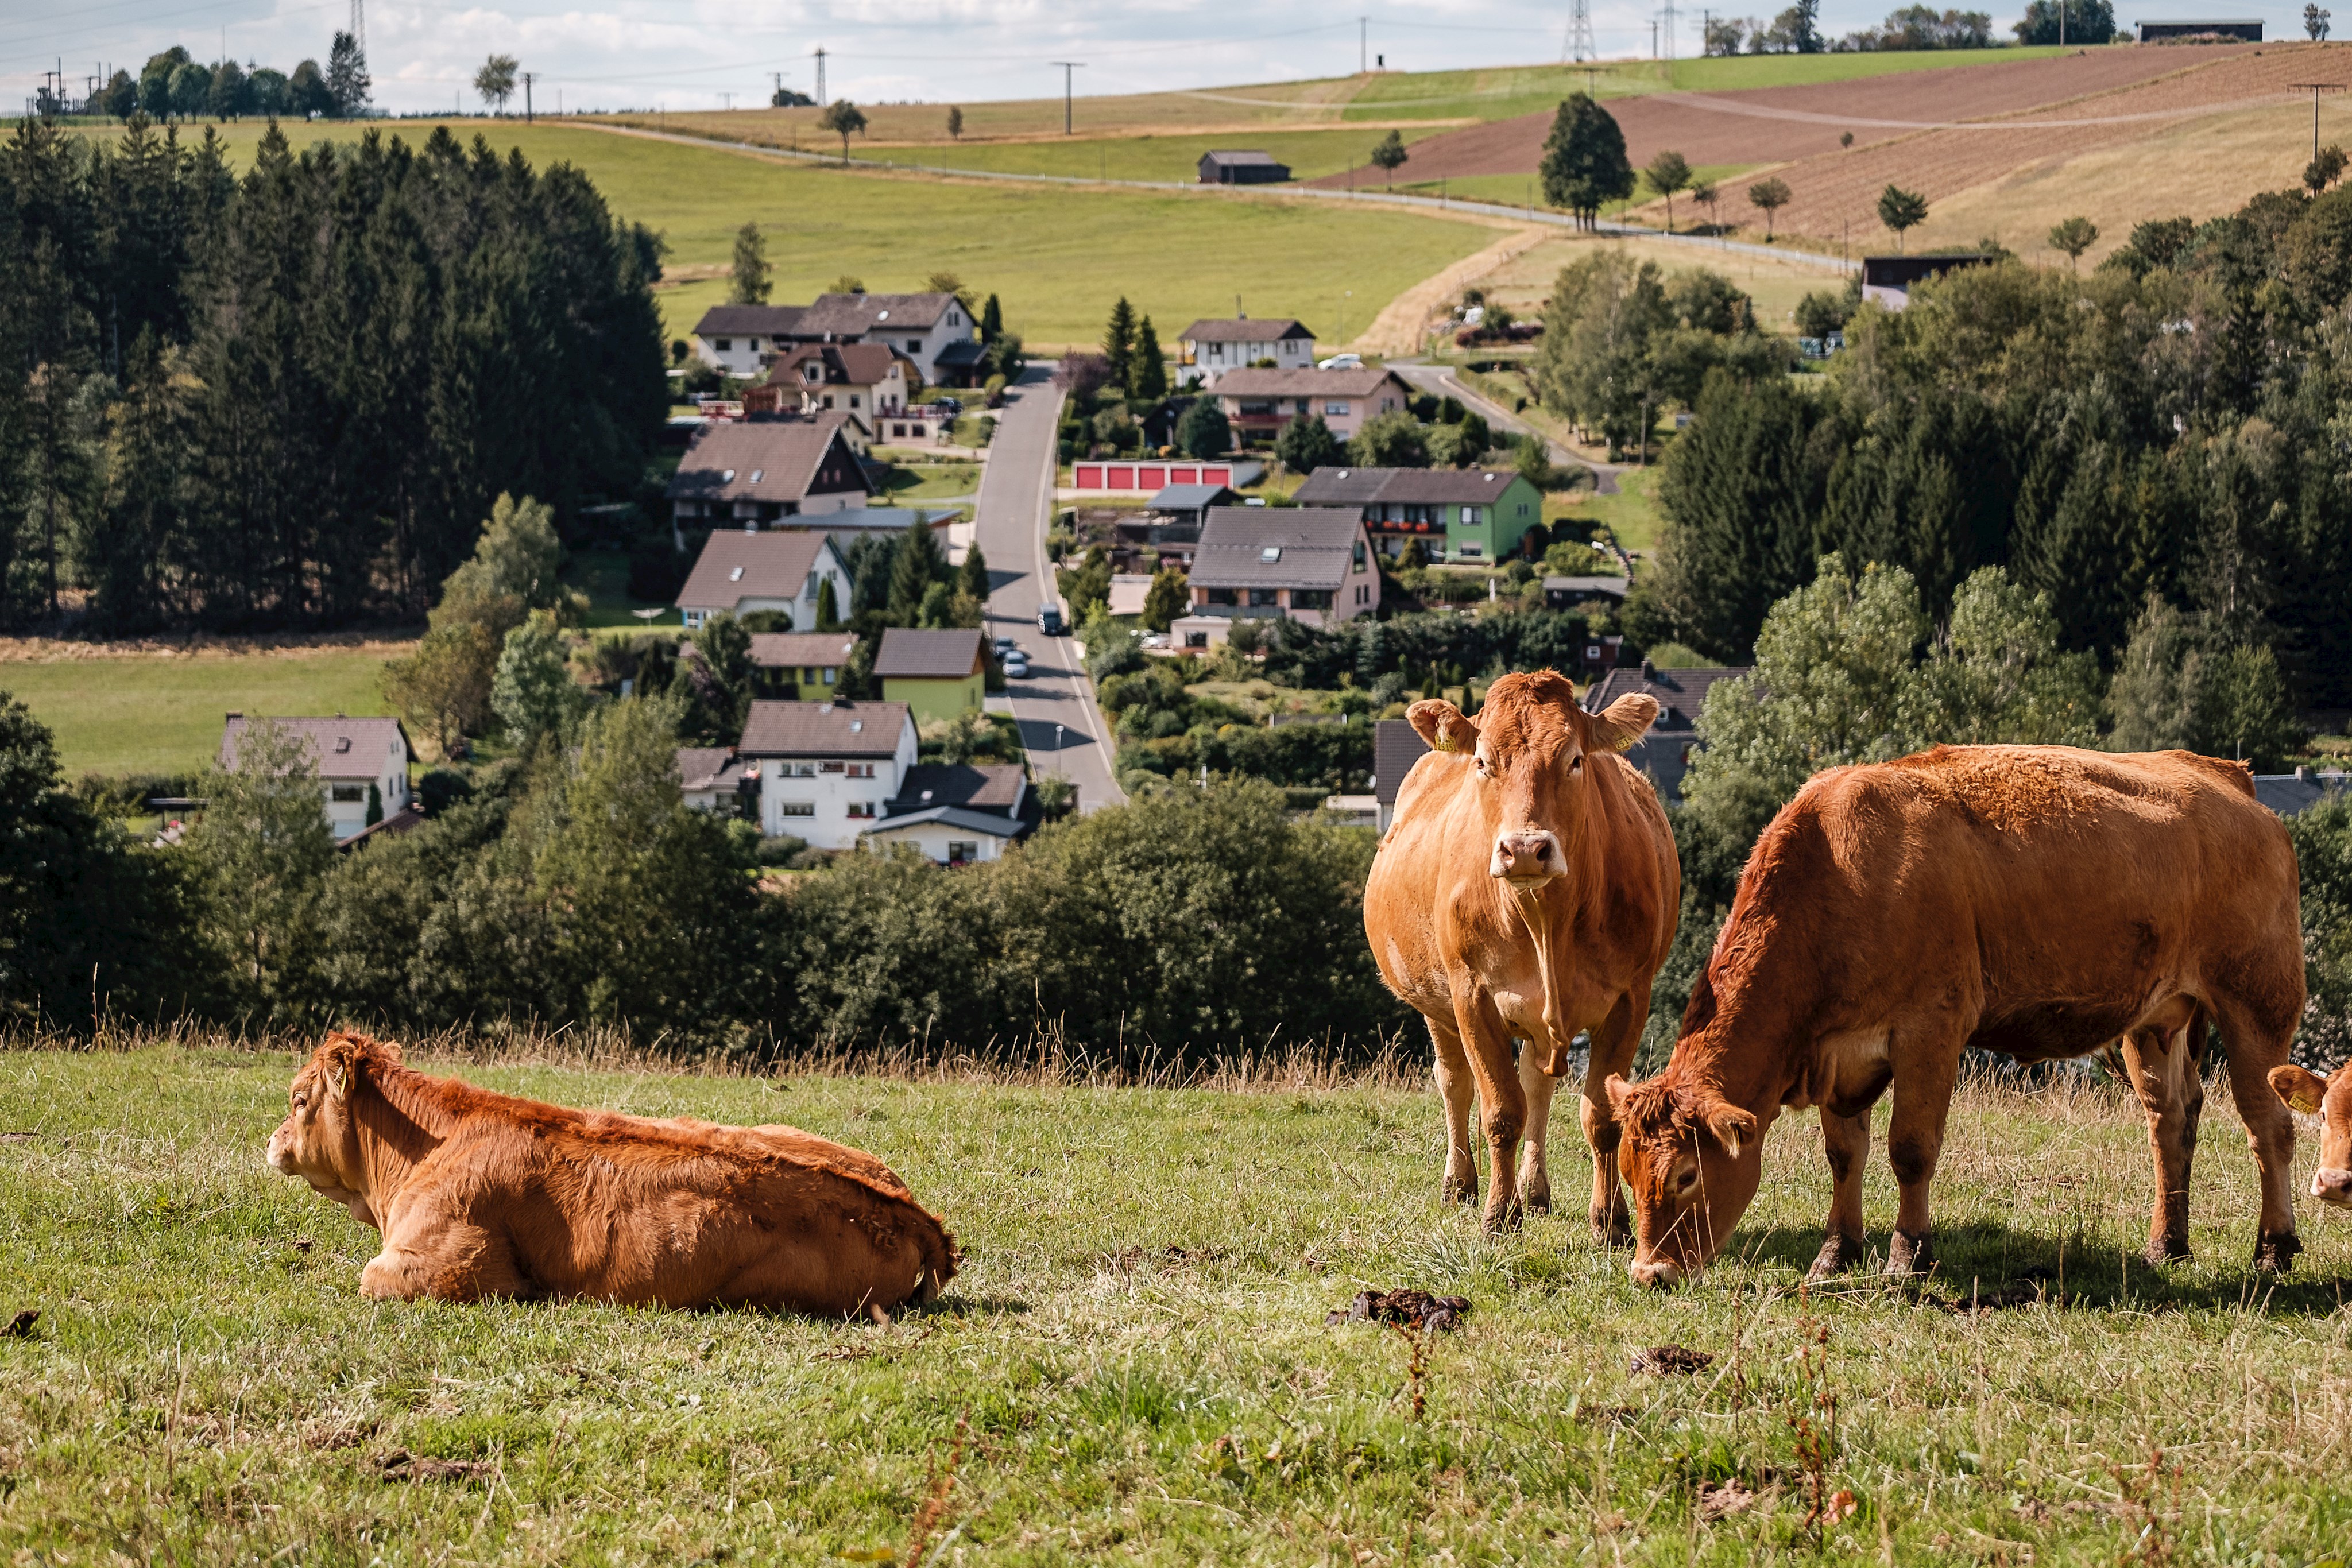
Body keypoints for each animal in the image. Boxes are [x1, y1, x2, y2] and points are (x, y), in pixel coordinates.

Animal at [1374, 677, 1684, 1241]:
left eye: (1575, 759)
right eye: (1482, 761)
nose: (1523, 849)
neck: (1544, 920)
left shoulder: (1631, 999)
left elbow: (1601, 1116)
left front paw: (1611, 1222)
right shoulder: (1471, 994)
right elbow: (1500, 1111)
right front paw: (1499, 1214)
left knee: (1537, 1083)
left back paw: (1534, 1190)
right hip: (1436, 1005)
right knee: (1455, 1083)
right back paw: (1461, 1183)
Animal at [1608, 748, 2305, 1288]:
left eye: (1686, 1174)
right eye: (1627, 1172)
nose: (1650, 1273)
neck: (1838, 873)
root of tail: (2223, 775)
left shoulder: (1930, 1029)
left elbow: (1910, 1149)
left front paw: (1907, 1256)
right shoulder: (1838, 1051)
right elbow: (1844, 1153)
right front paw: (1836, 1252)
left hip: (2258, 1005)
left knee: (2268, 1125)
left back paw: (2274, 1248)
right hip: (2155, 1019)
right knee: (2171, 1120)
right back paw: (2168, 1244)